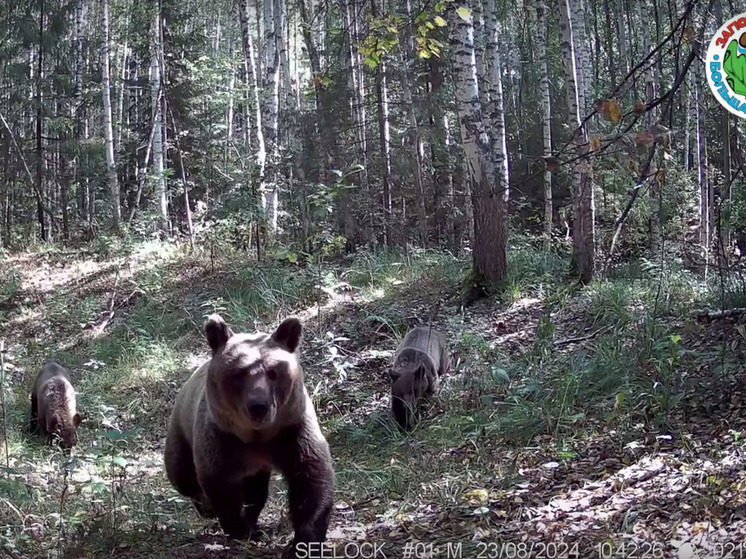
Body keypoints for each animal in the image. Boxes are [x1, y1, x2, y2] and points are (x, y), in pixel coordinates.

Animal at [167, 316, 336, 556]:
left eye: (273, 372)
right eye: (239, 372)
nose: (258, 406)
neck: (255, 436)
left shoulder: (292, 431)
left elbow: (311, 477)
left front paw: (303, 541)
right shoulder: (221, 438)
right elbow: (220, 483)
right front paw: (241, 528)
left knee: (256, 491)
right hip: (181, 433)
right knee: (182, 474)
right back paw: (206, 507)